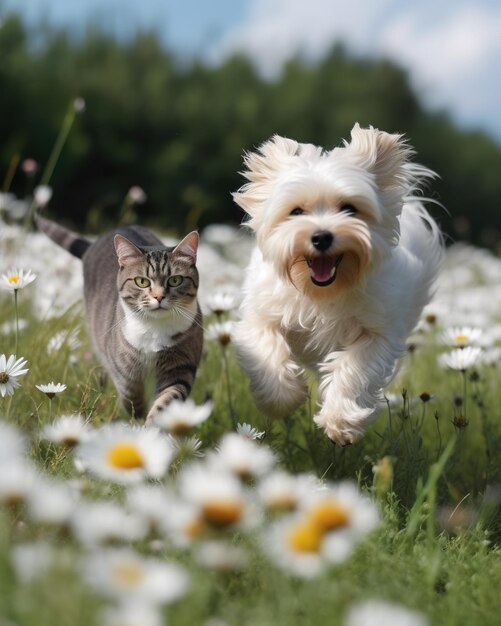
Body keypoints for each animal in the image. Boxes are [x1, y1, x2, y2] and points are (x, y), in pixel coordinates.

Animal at [34, 212, 203, 422]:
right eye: (141, 281)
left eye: (175, 280)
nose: (158, 297)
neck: (154, 328)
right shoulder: (125, 375)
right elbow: (132, 399)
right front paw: (136, 420)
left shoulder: (180, 367)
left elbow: (166, 401)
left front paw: (152, 426)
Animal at [233, 123, 442, 444]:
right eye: (296, 211)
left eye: (349, 208)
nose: (321, 237)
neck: (322, 292)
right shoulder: (263, 313)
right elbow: (267, 348)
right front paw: (283, 399)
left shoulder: (377, 332)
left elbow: (353, 369)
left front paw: (340, 421)